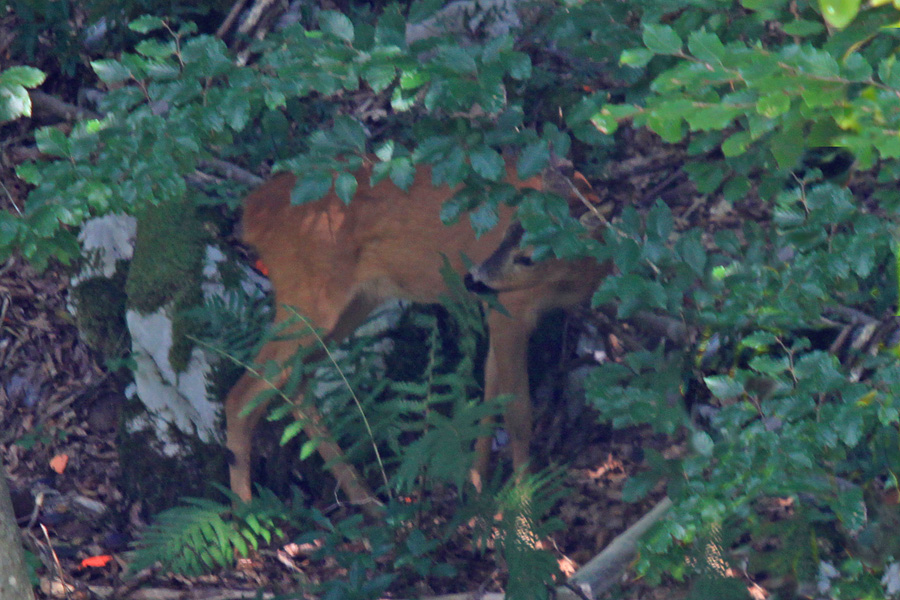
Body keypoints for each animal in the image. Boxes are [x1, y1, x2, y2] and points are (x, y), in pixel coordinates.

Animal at [223, 155, 612, 510]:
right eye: (507, 235)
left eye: (528, 255)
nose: (473, 277)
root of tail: (252, 210)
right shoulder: (509, 310)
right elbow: (517, 412)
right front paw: (522, 512)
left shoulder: (496, 311)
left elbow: (489, 393)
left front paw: (477, 486)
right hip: (308, 301)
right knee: (242, 394)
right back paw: (245, 512)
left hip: (351, 304)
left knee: (293, 383)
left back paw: (368, 501)